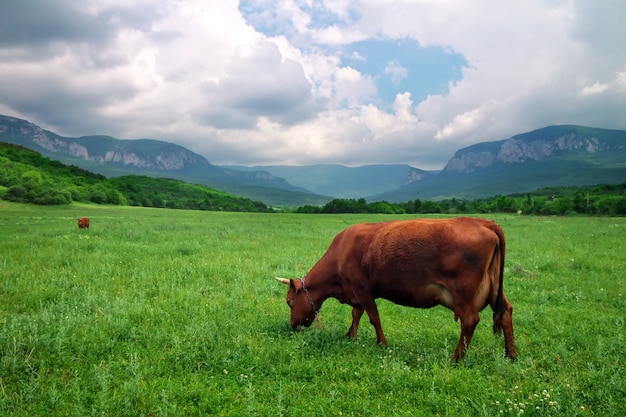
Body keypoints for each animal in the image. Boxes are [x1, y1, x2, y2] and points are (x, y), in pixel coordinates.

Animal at [276, 216, 516, 360]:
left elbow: (373, 317)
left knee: (470, 321)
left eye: (289, 302)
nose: (292, 326)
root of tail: (483, 222)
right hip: (494, 287)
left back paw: (455, 359)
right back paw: (511, 355)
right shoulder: (356, 293)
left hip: (464, 293)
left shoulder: (362, 289)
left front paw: (382, 343)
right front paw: (351, 336)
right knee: (506, 312)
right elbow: (356, 314)